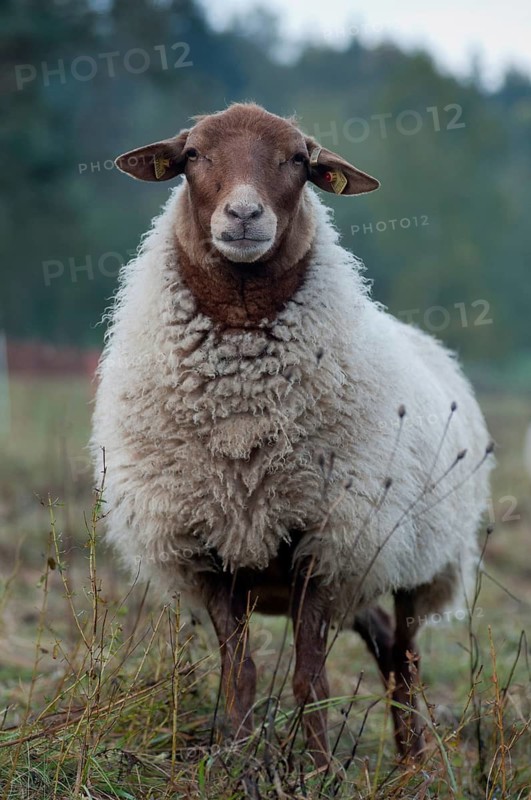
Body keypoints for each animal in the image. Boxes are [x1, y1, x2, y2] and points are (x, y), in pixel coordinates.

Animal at [91, 102, 494, 766]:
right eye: (193, 154)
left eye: (300, 160)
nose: (244, 215)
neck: (242, 420)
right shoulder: (210, 549)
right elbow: (242, 675)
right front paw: (241, 766)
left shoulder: (323, 544)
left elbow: (311, 680)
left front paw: (321, 771)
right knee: (384, 646)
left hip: (416, 562)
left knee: (405, 661)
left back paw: (413, 764)